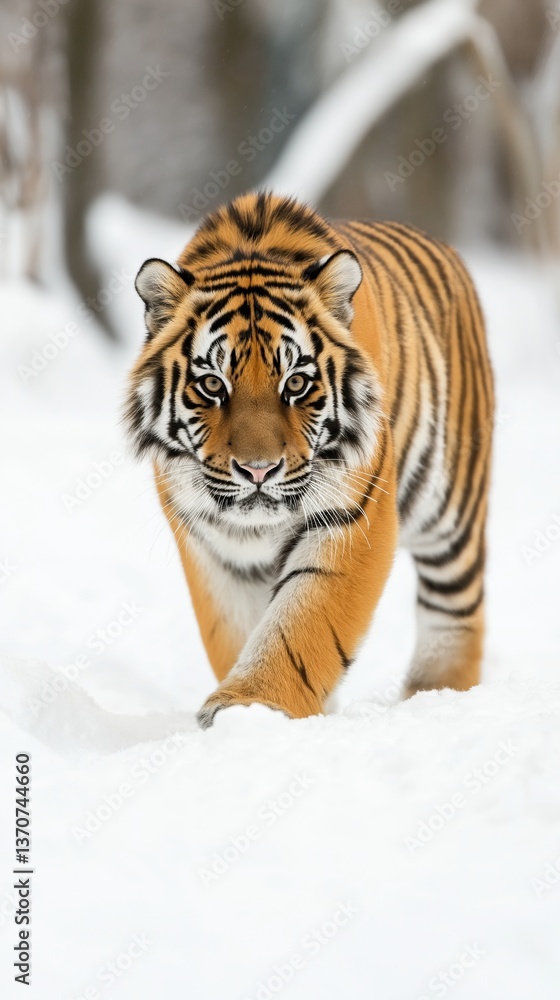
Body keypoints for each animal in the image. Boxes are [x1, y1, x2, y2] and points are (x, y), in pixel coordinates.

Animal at [125, 191, 494, 728]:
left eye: (296, 382)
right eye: (212, 384)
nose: (258, 470)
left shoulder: (351, 515)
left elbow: (300, 626)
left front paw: (250, 706)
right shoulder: (212, 544)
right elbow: (241, 631)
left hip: (451, 512)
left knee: (456, 612)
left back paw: (438, 695)